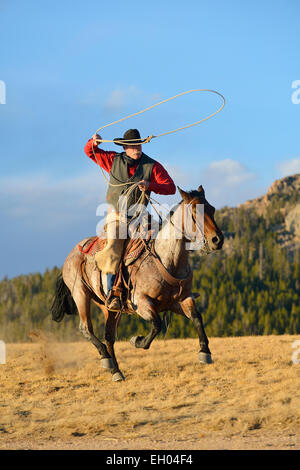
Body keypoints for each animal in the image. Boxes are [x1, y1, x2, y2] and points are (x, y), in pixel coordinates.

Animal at [51, 185, 223, 380]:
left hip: (107, 307)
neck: (166, 259)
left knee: (108, 336)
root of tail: (72, 254)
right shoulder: (141, 303)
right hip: (80, 294)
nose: (218, 240)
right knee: (86, 328)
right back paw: (106, 359)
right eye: (194, 211)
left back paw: (116, 370)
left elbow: (197, 317)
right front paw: (137, 340)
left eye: (212, 209)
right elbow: (157, 324)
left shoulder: (181, 301)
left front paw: (205, 352)